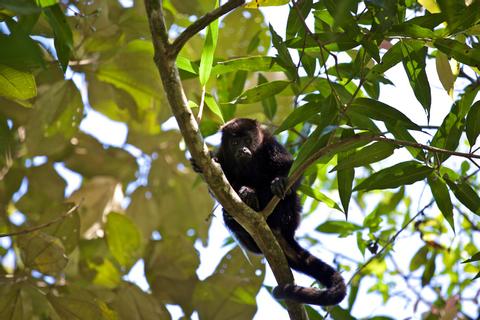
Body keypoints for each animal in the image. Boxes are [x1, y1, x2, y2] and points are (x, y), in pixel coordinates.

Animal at [193, 118, 346, 308]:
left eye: (248, 140)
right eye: (235, 143)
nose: (242, 150)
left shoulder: (271, 145)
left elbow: (291, 168)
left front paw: (277, 182)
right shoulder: (224, 155)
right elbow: (216, 187)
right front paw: (205, 163)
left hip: (291, 217)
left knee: (290, 198)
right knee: (227, 214)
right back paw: (240, 211)